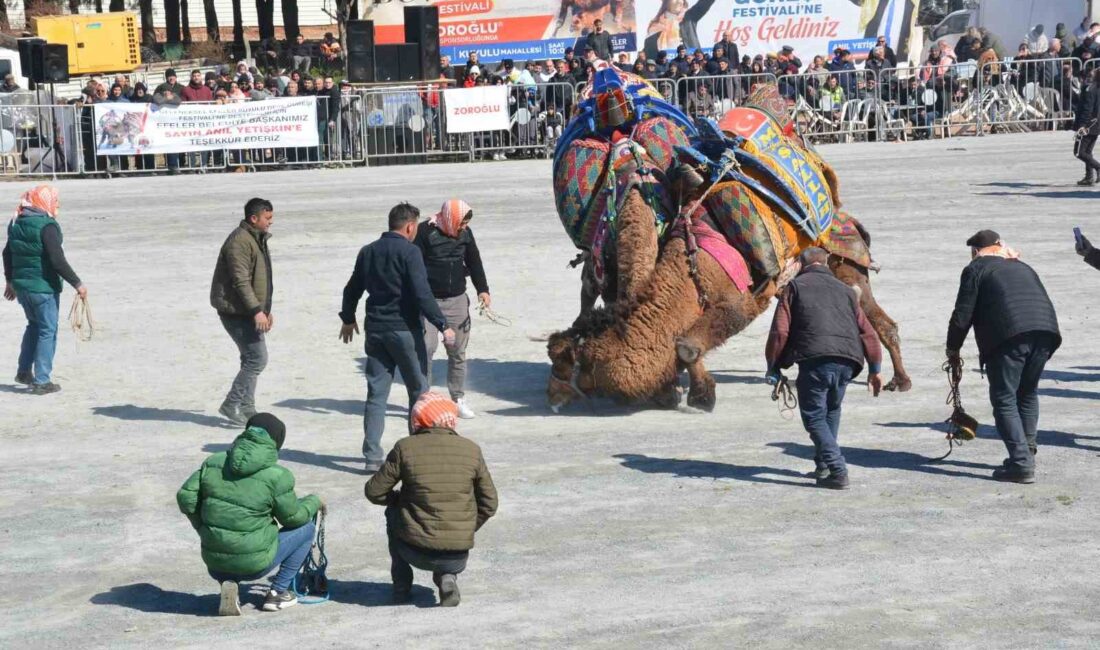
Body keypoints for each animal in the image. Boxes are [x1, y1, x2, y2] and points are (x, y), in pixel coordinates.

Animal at [545, 67, 906, 411]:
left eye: (580, 367)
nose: (557, 398)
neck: (690, 274)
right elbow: (683, 346)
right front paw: (686, 389)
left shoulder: (742, 303)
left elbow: (686, 347)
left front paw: (699, 395)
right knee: (877, 320)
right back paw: (891, 379)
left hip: (845, 267)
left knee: (878, 320)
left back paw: (897, 380)